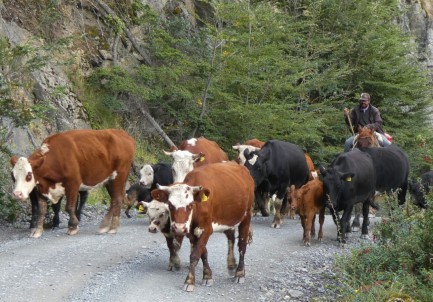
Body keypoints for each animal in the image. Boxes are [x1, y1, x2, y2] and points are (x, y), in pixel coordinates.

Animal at [151, 162, 253, 292]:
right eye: (170, 205)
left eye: (190, 205)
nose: (179, 228)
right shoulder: (191, 232)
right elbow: (202, 252)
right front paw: (207, 275)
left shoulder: (207, 229)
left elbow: (195, 255)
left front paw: (189, 281)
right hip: (228, 219)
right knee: (231, 237)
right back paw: (231, 265)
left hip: (246, 216)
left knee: (242, 245)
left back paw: (240, 273)